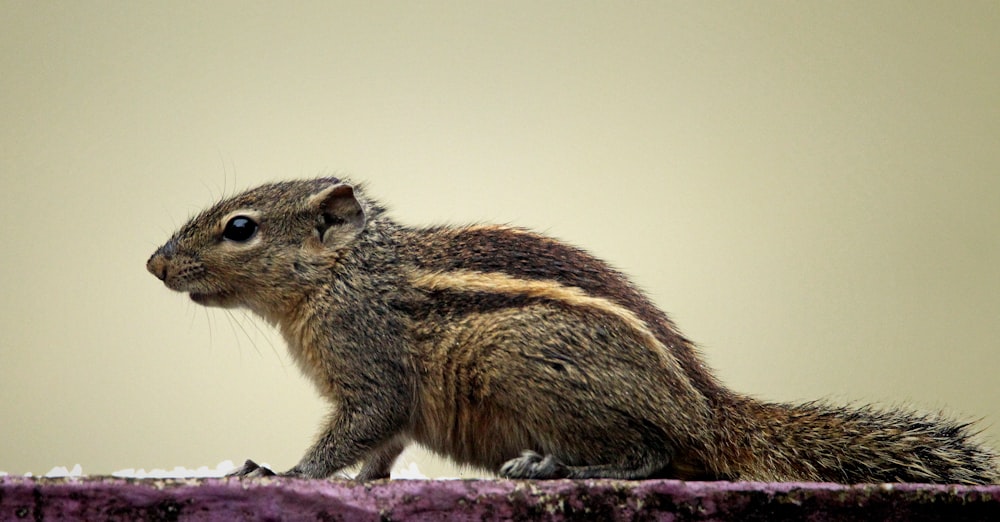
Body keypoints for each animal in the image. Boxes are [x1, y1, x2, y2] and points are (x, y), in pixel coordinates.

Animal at [146, 177, 1000, 482]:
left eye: (241, 228)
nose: (154, 264)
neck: (345, 273)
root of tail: (714, 412)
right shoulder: (389, 407)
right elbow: (381, 452)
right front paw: (363, 486)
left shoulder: (371, 373)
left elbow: (356, 431)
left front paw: (284, 474)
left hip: (522, 359)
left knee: (653, 455)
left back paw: (556, 467)